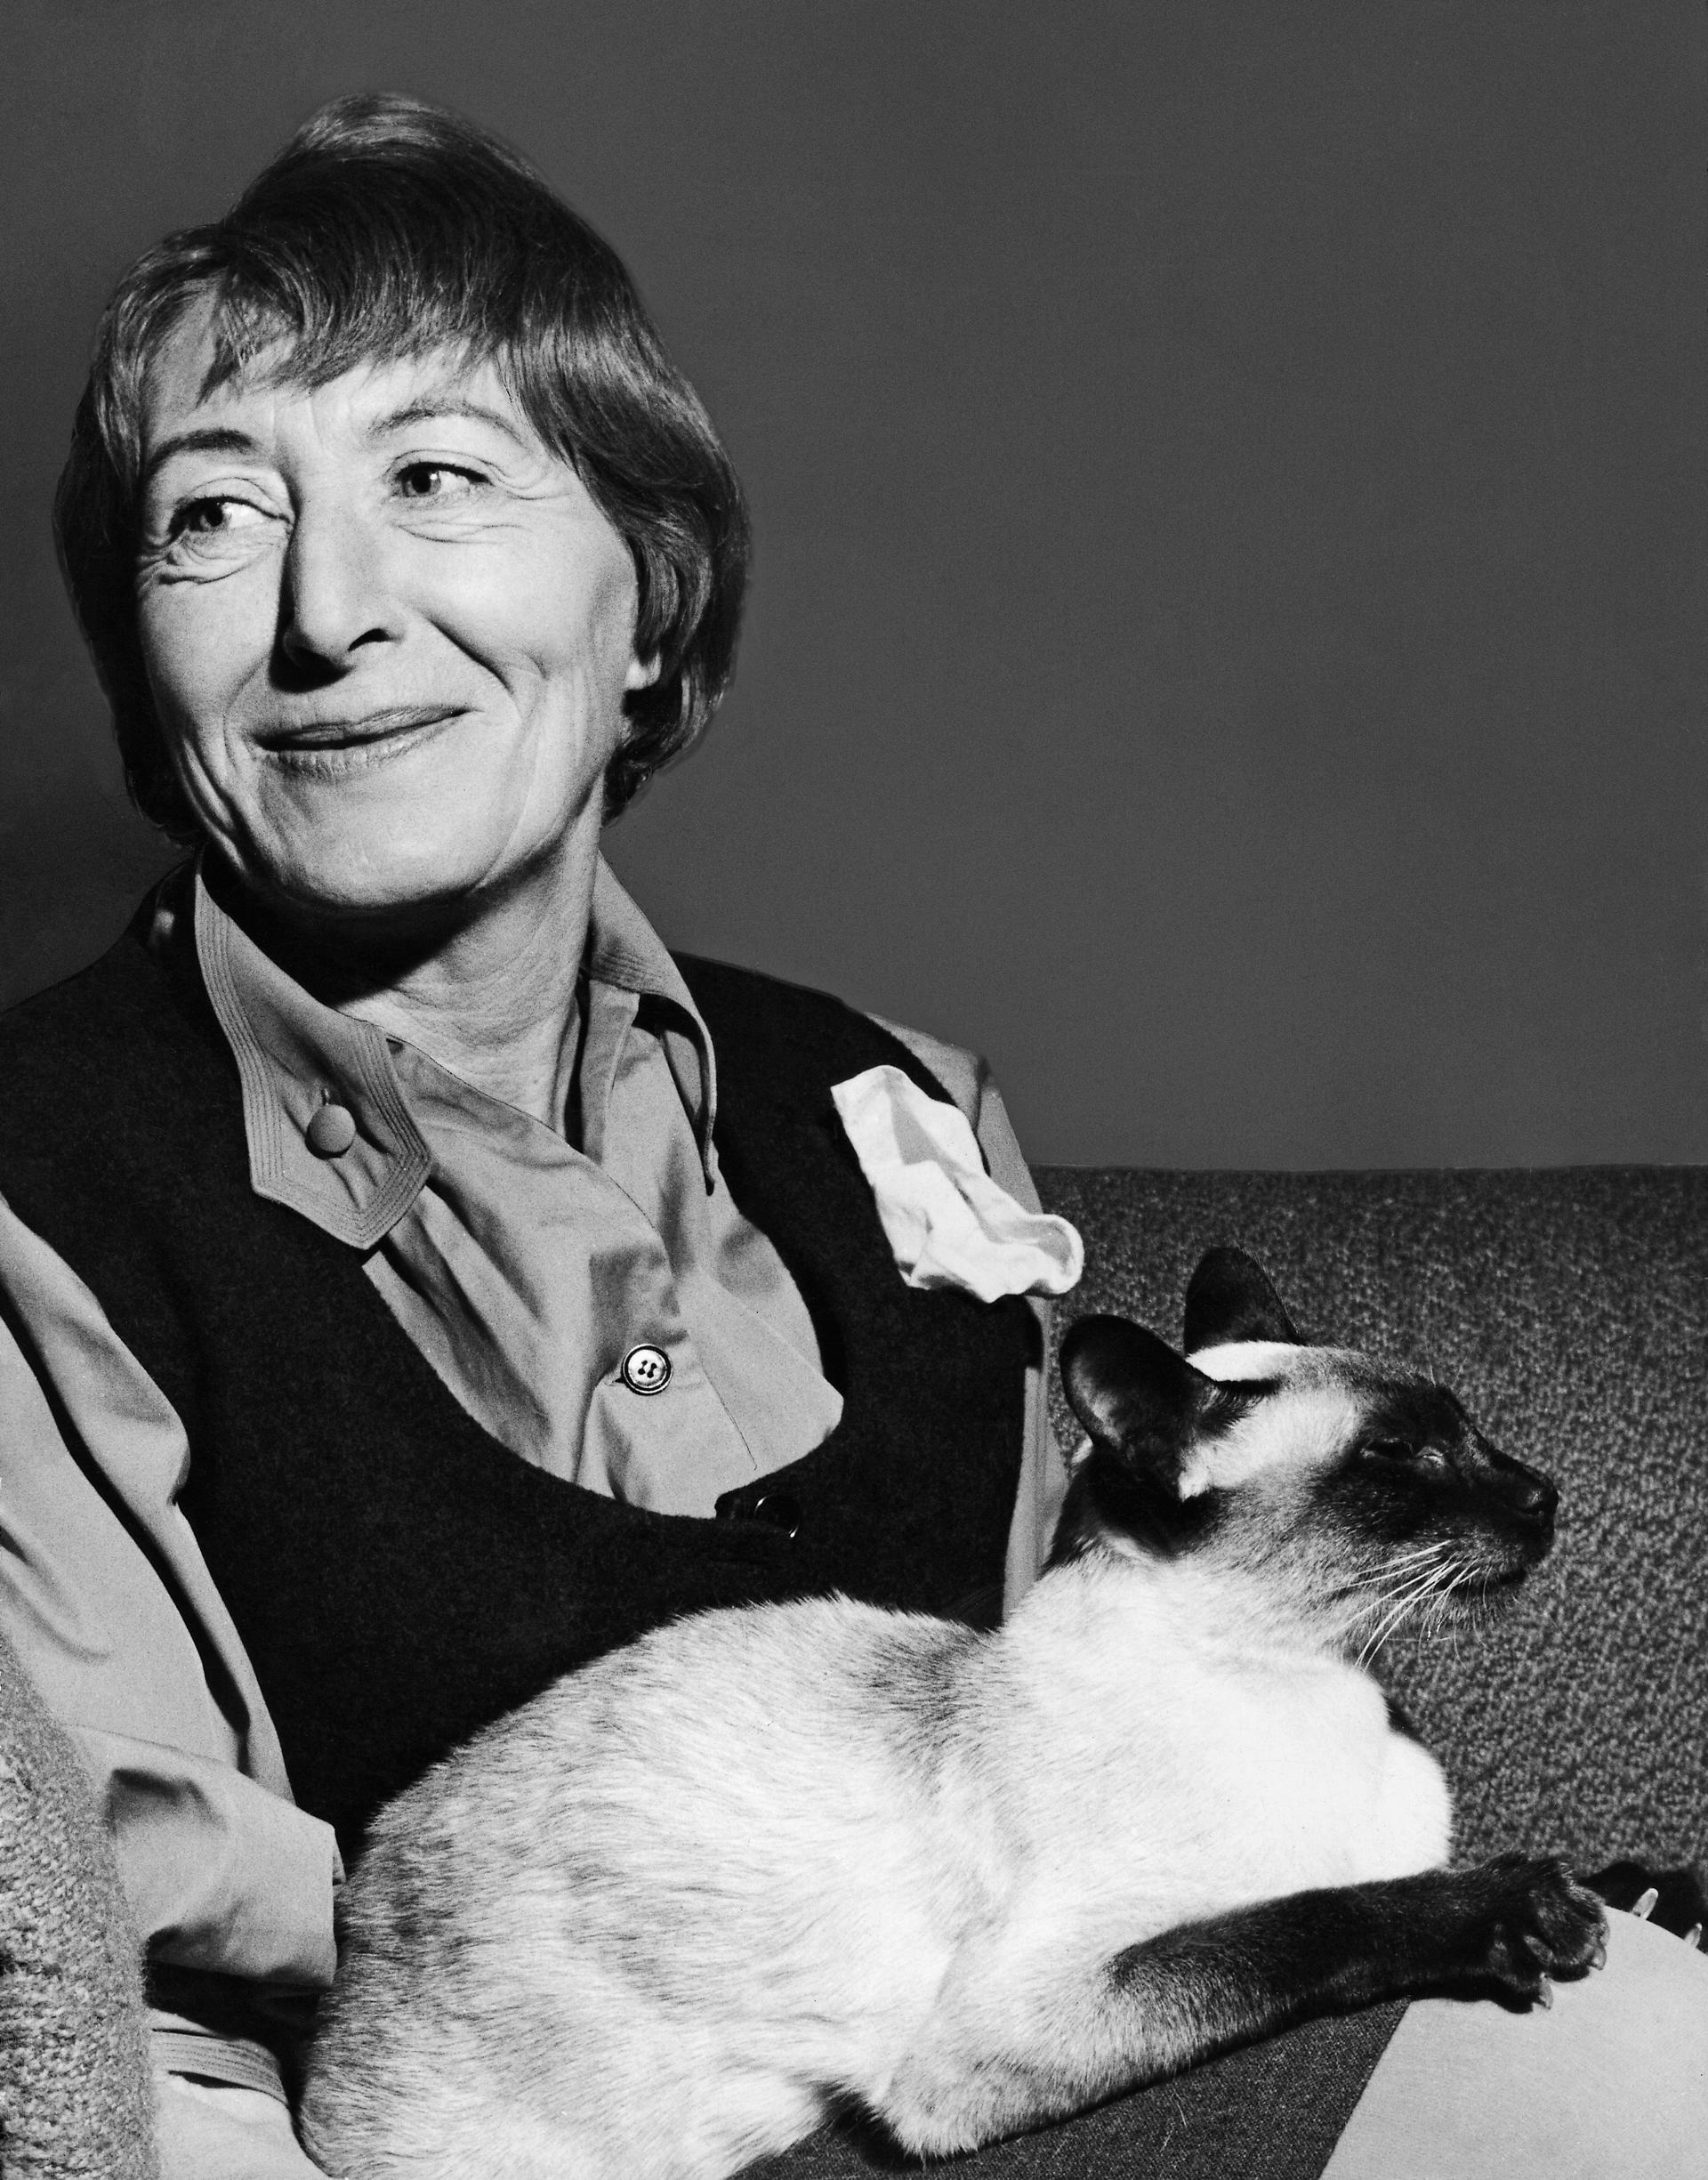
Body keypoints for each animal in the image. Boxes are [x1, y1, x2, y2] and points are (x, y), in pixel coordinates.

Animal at [298, 1246, 1606, 2180]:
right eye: (1403, 1458)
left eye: (1471, 1433)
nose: (1546, 1494)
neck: (1319, 1676)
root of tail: (356, 1904)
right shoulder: (1008, 2028)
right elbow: (1308, 1923)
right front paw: (1523, 1909)